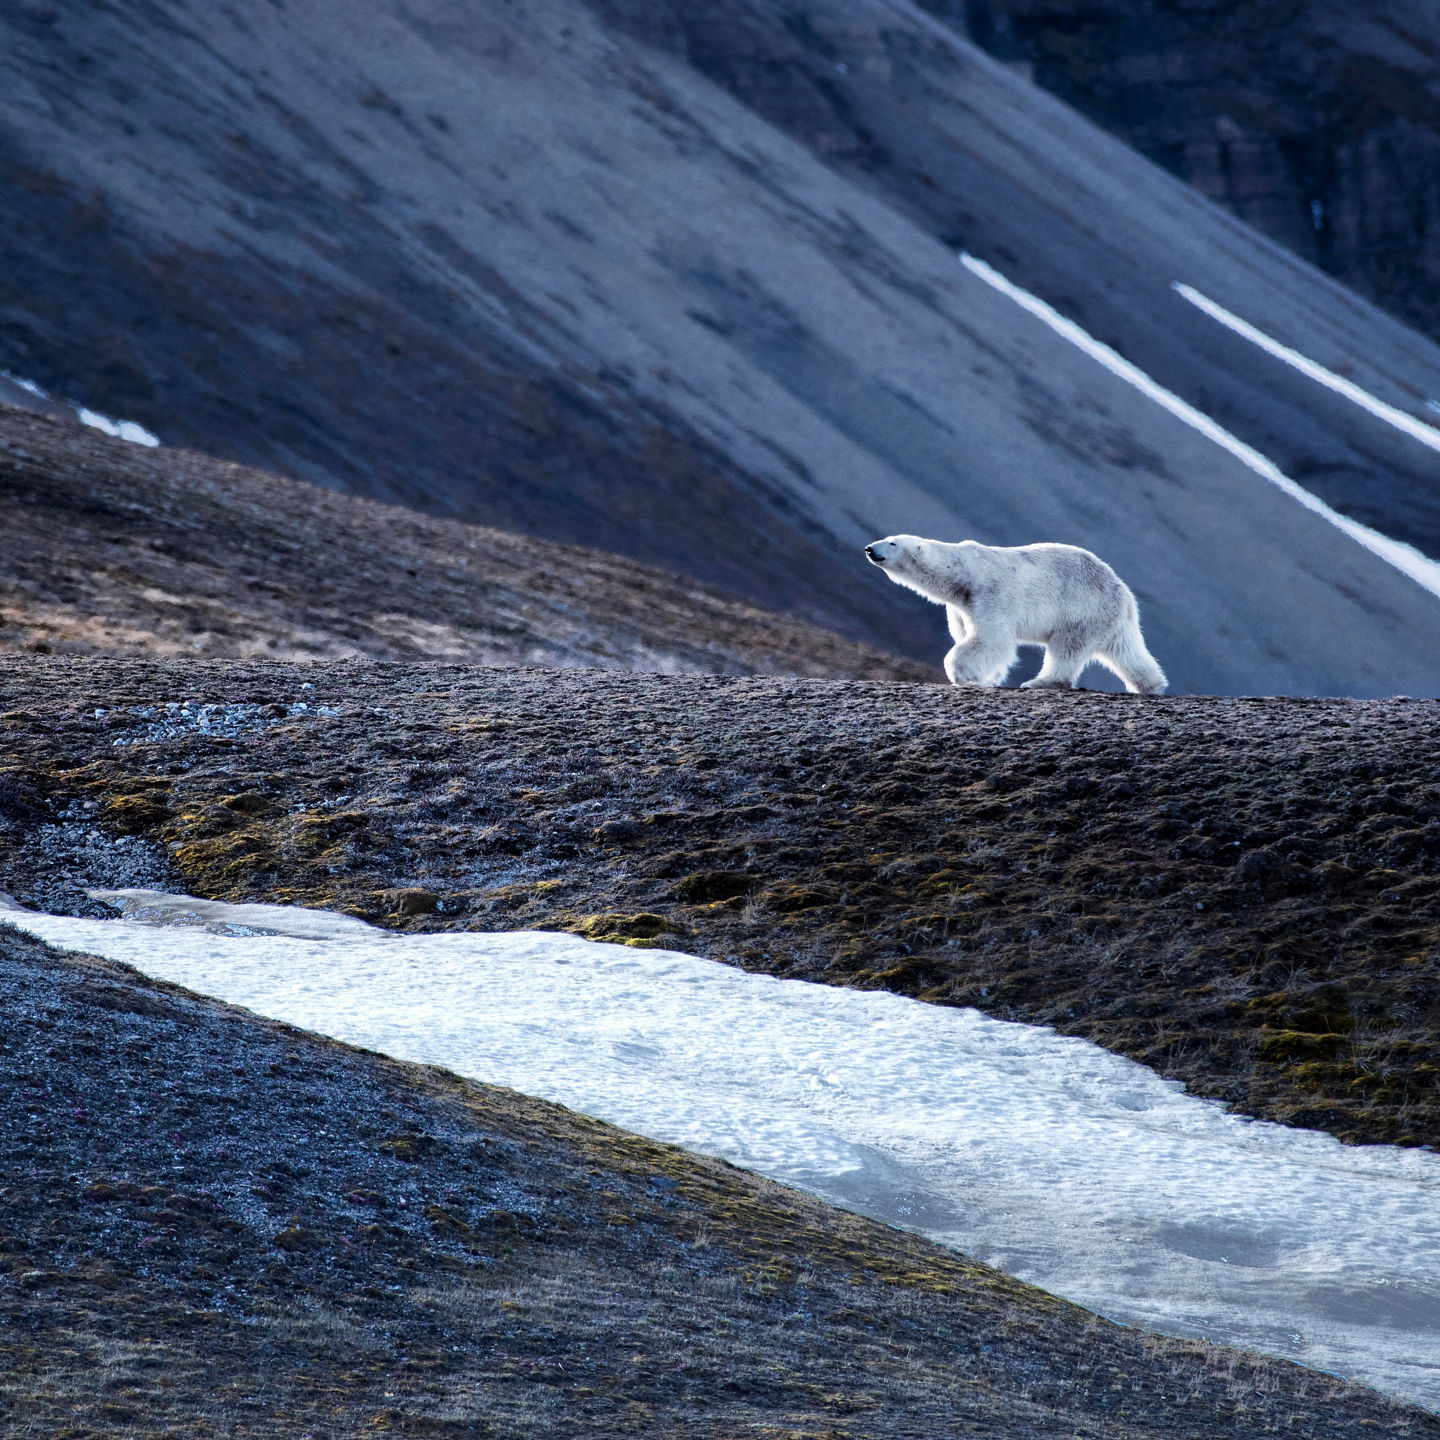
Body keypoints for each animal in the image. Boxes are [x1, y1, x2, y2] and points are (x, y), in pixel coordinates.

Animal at [864, 535, 1167, 694]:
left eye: (892, 543)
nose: (869, 548)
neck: (963, 573)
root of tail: (1124, 593)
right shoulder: (960, 607)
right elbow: (970, 635)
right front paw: (989, 677)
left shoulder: (991, 593)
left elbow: (990, 639)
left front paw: (962, 674)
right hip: (1110, 619)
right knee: (1126, 650)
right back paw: (1151, 685)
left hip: (1083, 610)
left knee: (1066, 648)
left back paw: (1040, 681)